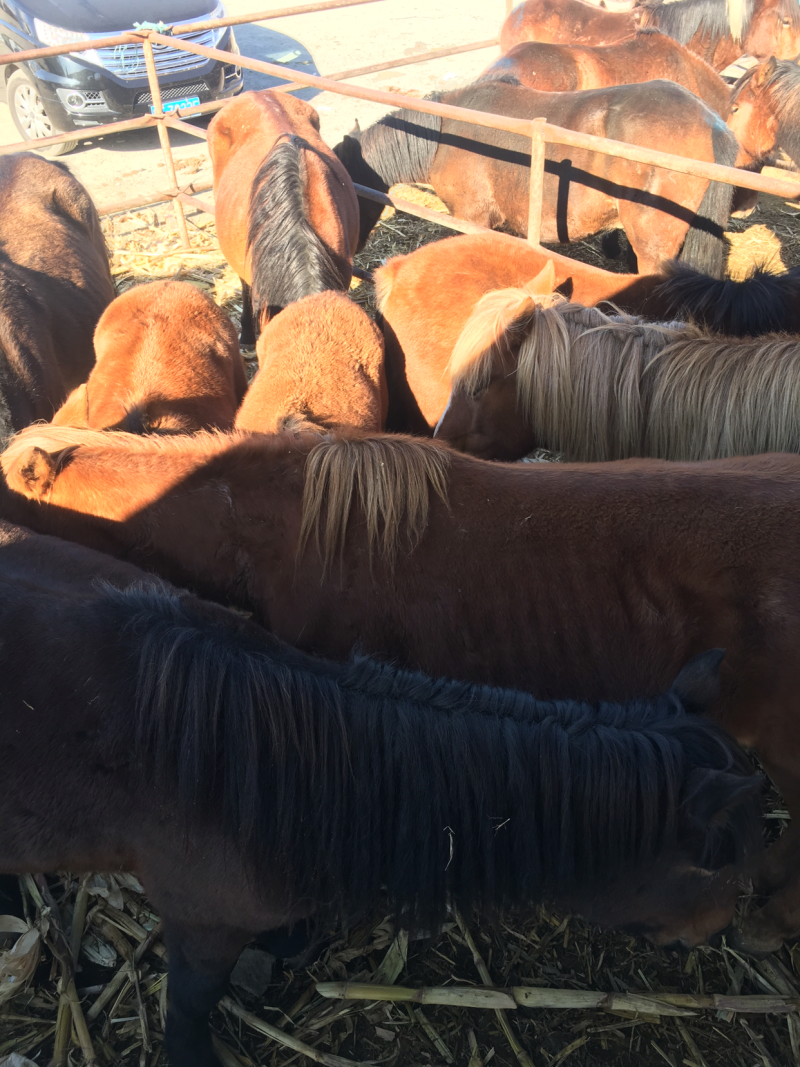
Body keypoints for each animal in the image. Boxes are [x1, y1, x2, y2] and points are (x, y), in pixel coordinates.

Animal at [334, 78, 737, 279]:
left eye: (344, 191)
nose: (350, 251)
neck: (444, 131)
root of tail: (710, 120)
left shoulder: (471, 218)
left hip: (653, 250)